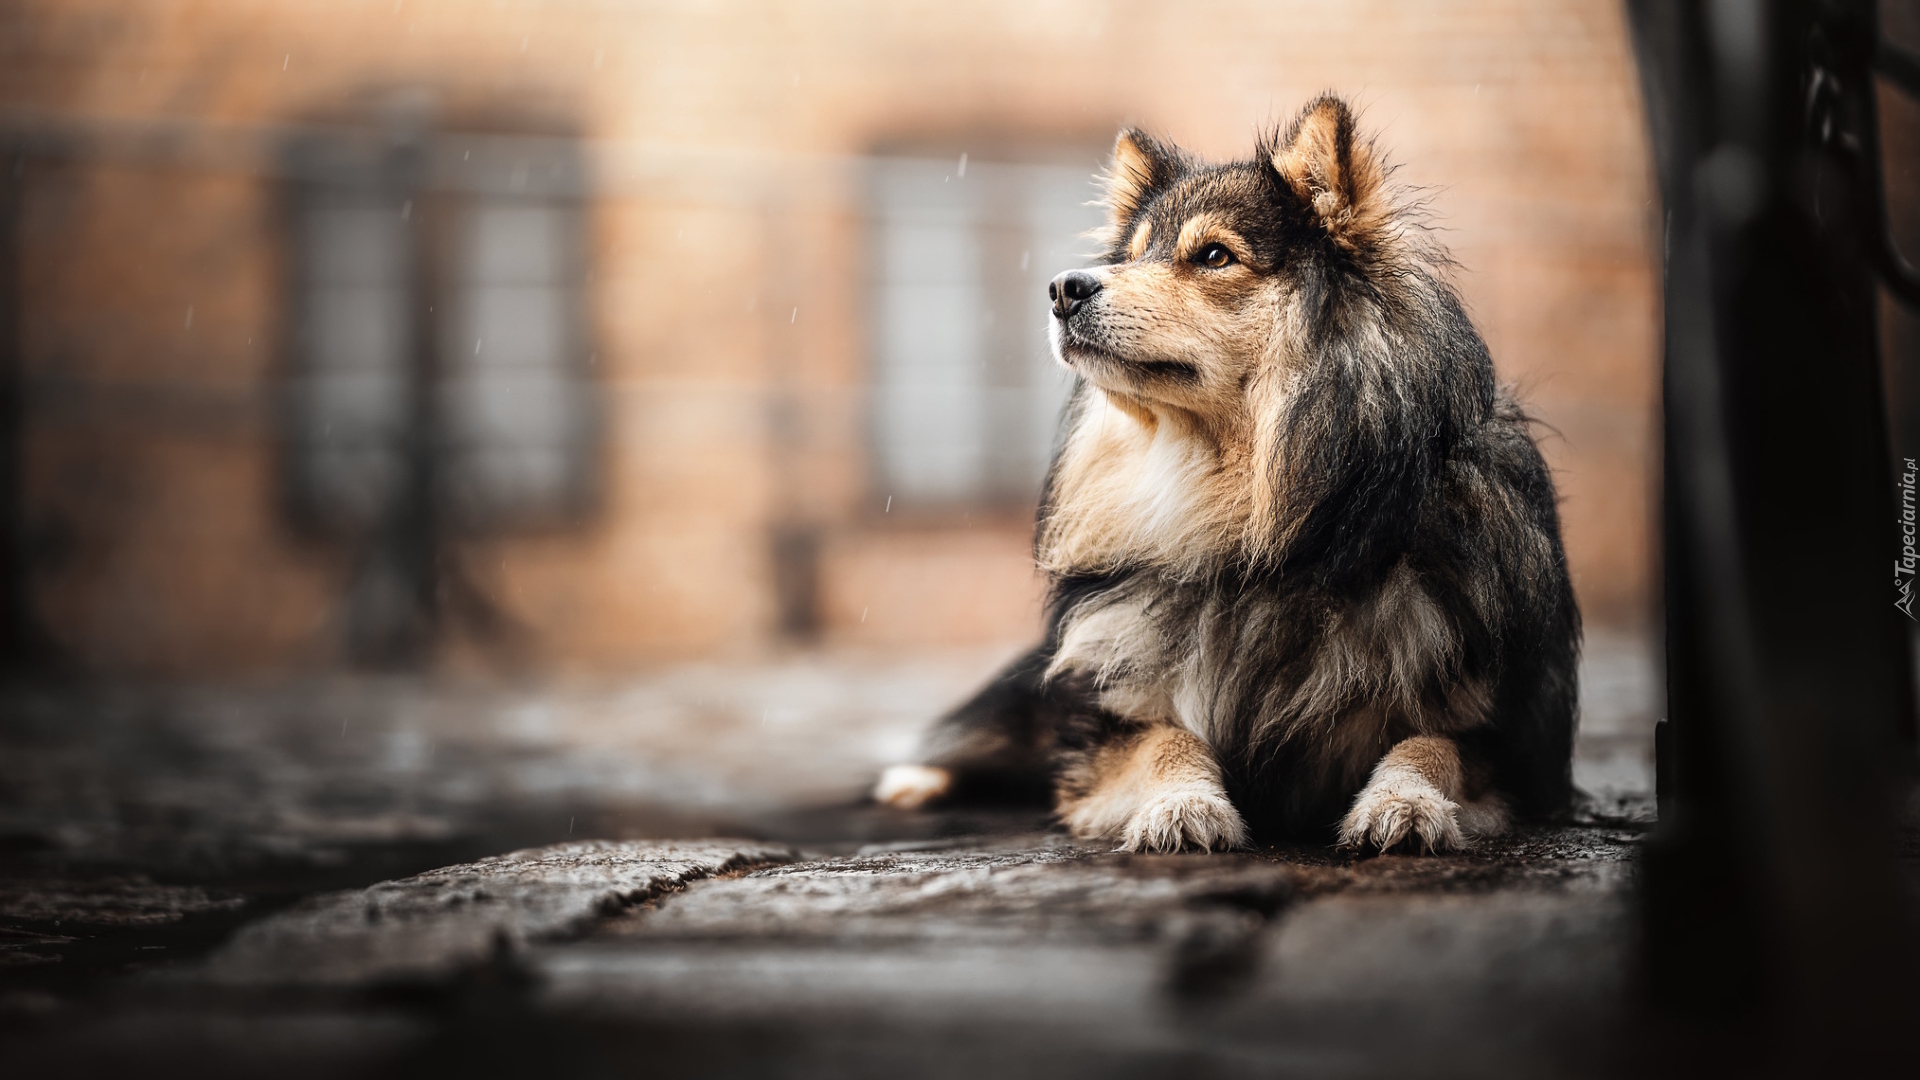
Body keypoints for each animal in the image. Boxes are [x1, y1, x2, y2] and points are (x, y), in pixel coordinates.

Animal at [879, 92, 1582, 849]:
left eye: (1214, 255)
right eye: (1133, 255)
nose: (1064, 287)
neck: (1268, 530)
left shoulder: (1510, 741)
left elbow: (1430, 744)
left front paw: (1405, 805)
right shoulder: (1103, 723)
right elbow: (1167, 740)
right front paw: (1183, 806)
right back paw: (914, 781)